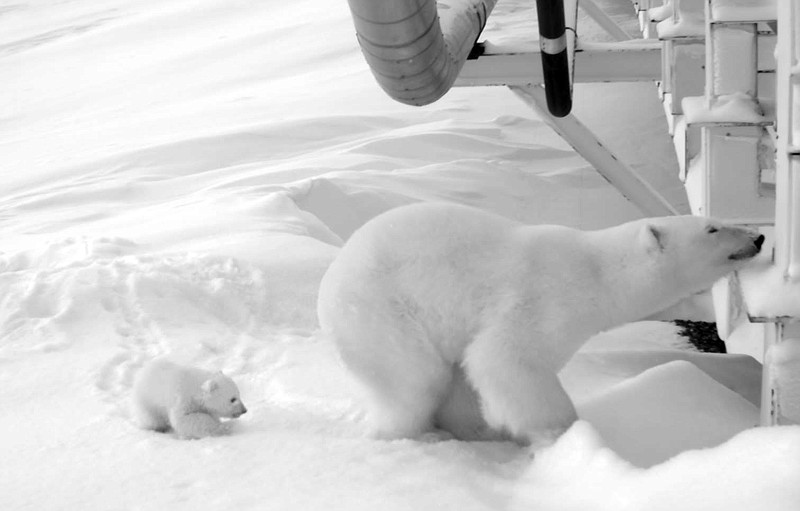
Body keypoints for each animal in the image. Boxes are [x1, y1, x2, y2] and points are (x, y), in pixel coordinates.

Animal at [318, 202, 764, 446]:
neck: (598, 272)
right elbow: (506, 359)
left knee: (453, 379)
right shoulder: (541, 298)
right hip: (382, 313)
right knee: (414, 379)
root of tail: (328, 285)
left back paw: (479, 431)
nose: (758, 237)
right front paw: (561, 431)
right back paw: (423, 434)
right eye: (712, 228)